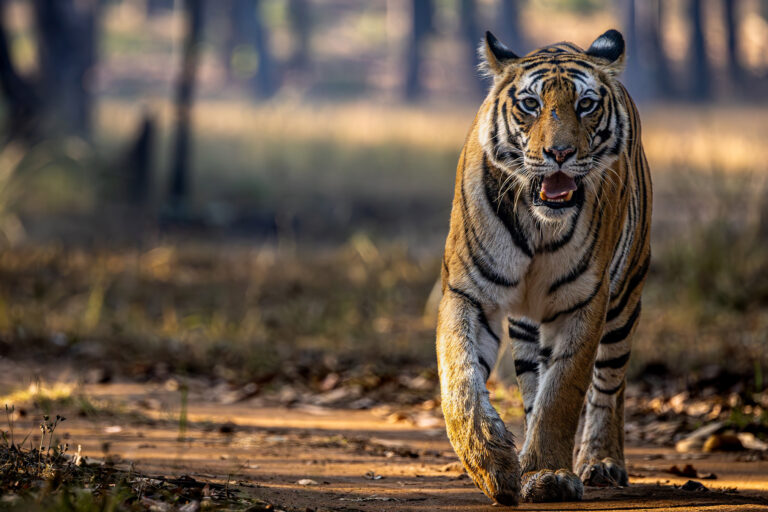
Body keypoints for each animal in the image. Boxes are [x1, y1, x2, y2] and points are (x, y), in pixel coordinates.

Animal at [436, 29, 652, 504]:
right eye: (530, 104)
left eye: (586, 104)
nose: (560, 152)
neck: (538, 223)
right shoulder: (468, 292)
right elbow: (459, 380)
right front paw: (492, 462)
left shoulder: (584, 300)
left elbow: (563, 392)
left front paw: (549, 473)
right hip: (526, 326)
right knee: (533, 380)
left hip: (625, 297)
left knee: (610, 385)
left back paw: (601, 461)